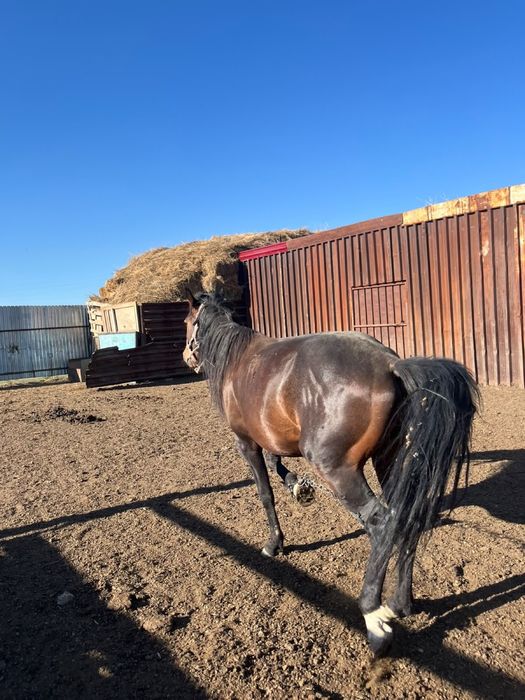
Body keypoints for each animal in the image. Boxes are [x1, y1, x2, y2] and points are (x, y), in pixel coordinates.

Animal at [182, 291, 479, 655]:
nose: (186, 356)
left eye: (188, 322)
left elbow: (265, 493)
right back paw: (401, 603)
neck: (239, 359)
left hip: (338, 470)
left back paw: (374, 617)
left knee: (381, 524)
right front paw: (298, 486)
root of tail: (389, 365)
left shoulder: (246, 443)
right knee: (405, 517)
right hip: (391, 461)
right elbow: (276, 464)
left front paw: (274, 543)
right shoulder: (273, 438)